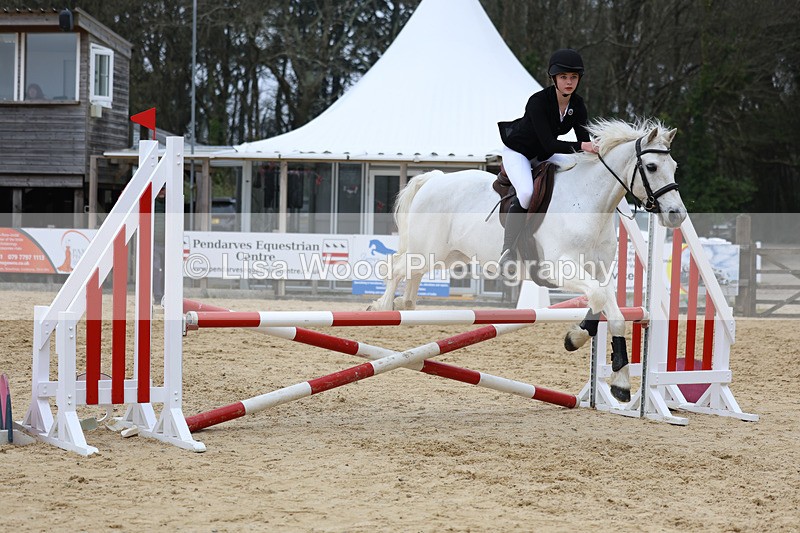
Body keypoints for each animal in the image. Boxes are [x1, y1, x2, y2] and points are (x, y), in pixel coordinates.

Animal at [367, 118, 687, 403]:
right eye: (651, 167)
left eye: (674, 167)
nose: (676, 215)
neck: (588, 203)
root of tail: (434, 179)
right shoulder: (560, 269)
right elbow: (598, 297)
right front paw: (578, 340)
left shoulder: (599, 272)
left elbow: (611, 311)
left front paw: (614, 378)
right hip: (427, 250)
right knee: (397, 267)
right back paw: (383, 307)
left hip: (447, 256)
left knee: (412, 274)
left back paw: (405, 303)